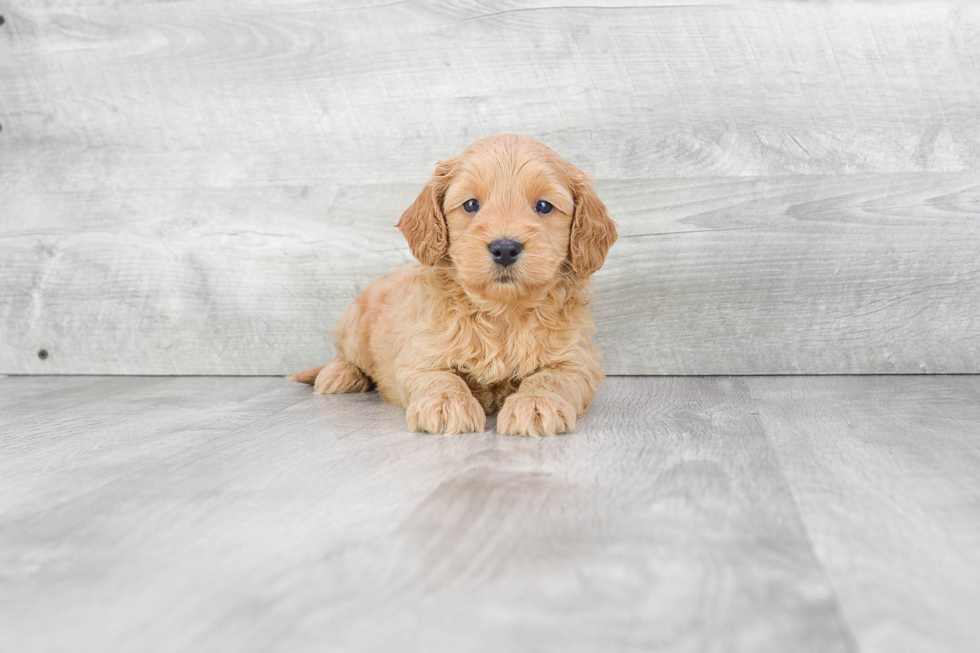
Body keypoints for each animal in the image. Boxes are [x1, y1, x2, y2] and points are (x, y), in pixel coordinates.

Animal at [288, 134, 616, 436]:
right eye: (471, 204)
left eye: (544, 206)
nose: (505, 248)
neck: (501, 311)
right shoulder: (420, 355)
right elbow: (440, 377)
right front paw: (445, 403)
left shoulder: (577, 360)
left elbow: (551, 378)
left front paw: (536, 404)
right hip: (355, 327)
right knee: (346, 356)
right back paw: (339, 375)